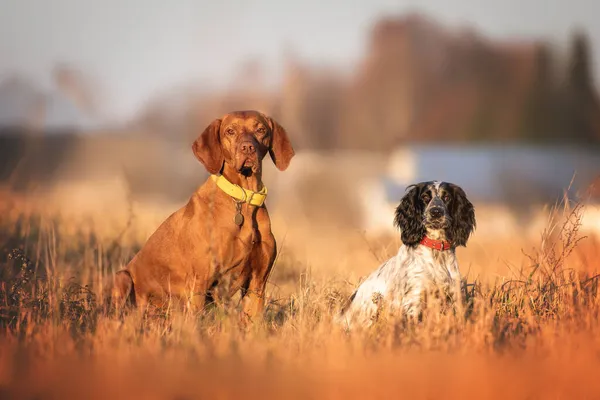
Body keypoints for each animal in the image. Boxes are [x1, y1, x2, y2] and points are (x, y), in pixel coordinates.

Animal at [110, 108, 296, 318]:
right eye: (230, 131)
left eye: (261, 130)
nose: (247, 148)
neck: (243, 199)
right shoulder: (200, 282)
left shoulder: (257, 285)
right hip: (123, 277)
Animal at [338, 181, 474, 328]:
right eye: (425, 197)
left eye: (447, 197)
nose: (436, 212)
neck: (436, 252)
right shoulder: (414, 300)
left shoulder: (454, 298)